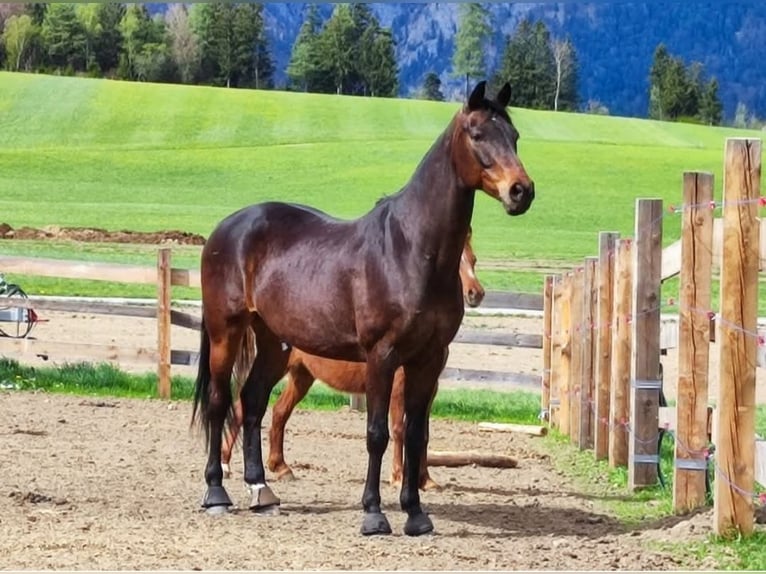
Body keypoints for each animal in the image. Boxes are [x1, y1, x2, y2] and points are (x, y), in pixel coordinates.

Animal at [219, 227, 486, 490]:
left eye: (473, 260)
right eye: (456, 263)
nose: (476, 293)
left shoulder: (429, 388)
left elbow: (423, 434)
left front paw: (425, 480)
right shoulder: (397, 387)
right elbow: (399, 429)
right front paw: (399, 476)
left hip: (301, 376)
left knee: (279, 411)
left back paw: (281, 467)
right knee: (242, 407)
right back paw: (225, 464)